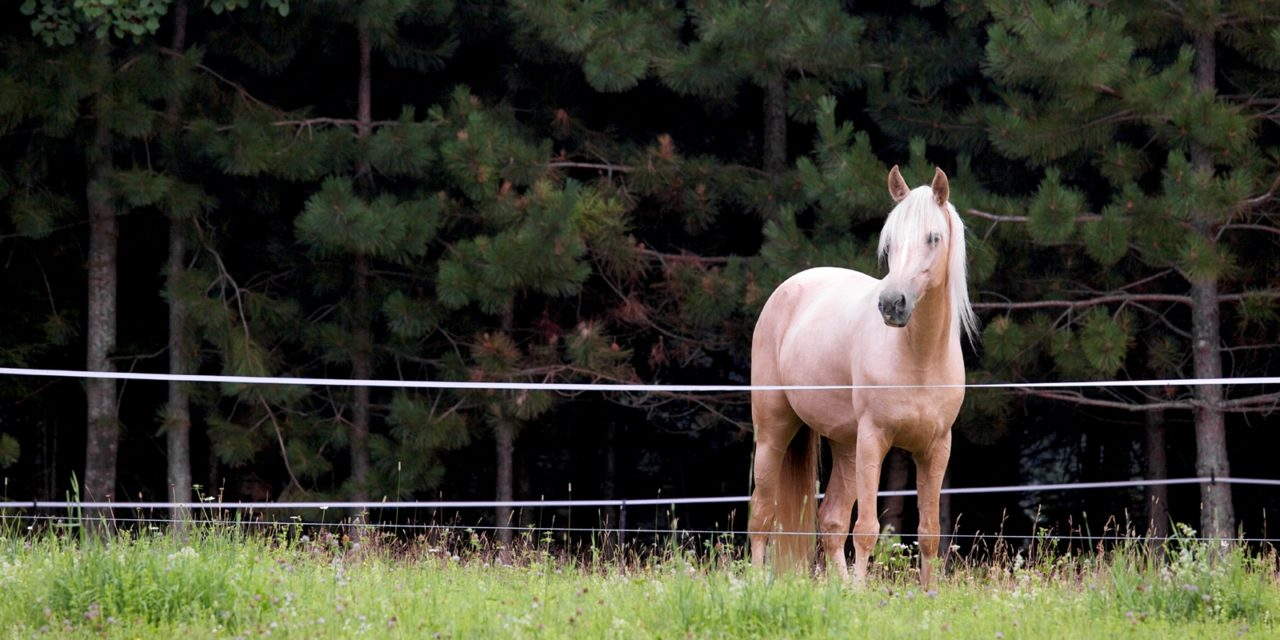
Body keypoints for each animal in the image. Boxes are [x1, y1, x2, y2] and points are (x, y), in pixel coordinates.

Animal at [747, 166, 972, 588]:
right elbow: (867, 529)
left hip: (846, 446)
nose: (892, 304)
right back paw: (752, 584)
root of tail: (788, 288)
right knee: (762, 516)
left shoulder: (936, 449)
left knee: (832, 520)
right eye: (891, 240)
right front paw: (864, 593)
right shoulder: (874, 440)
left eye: (933, 237)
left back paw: (841, 589)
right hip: (774, 433)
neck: (919, 358)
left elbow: (929, 533)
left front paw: (928, 594)